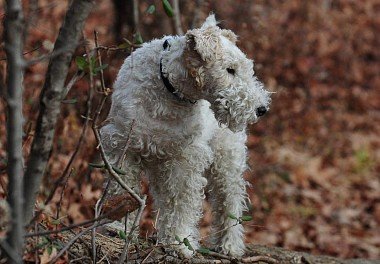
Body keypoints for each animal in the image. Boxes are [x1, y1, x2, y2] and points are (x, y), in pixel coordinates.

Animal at [101, 15, 270, 256]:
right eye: (230, 69)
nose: (261, 109)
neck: (169, 91)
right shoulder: (123, 144)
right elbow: (122, 188)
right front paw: (117, 227)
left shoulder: (185, 158)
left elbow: (181, 203)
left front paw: (179, 242)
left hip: (227, 160)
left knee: (229, 202)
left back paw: (229, 245)